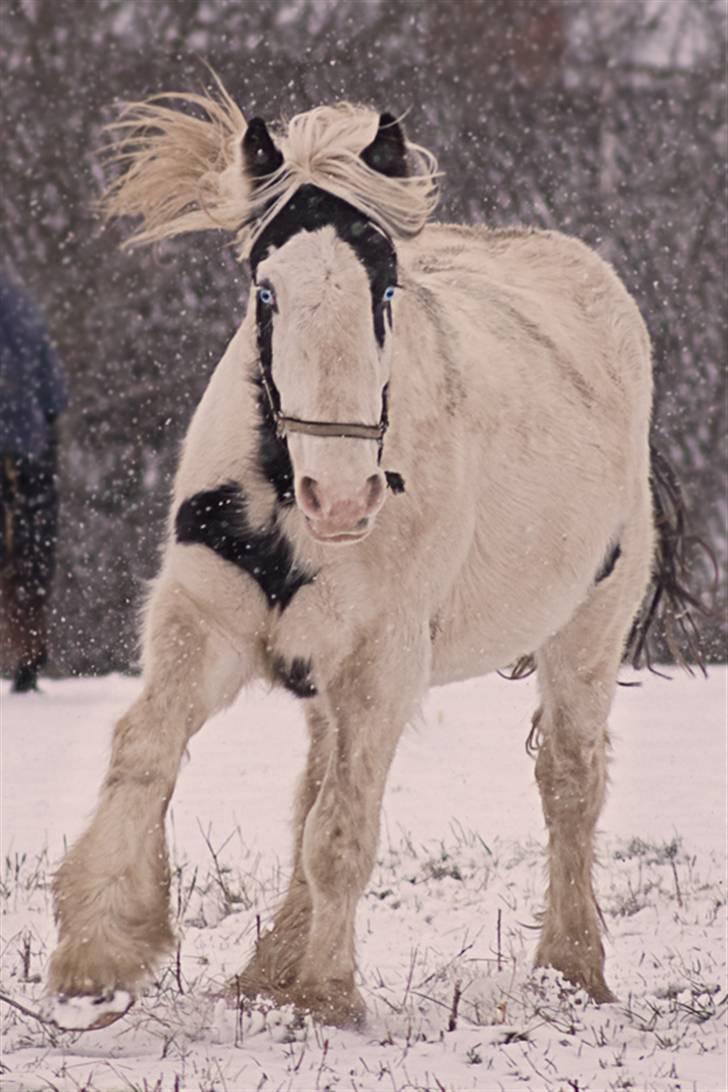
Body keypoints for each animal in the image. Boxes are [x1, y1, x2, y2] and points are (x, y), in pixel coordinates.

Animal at [48, 85, 685, 1030]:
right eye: (265, 292)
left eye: (385, 287)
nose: (343, 498)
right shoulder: (204, 619)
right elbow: (148, 750)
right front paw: (98, 953)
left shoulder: (385, 656)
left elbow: (343, 831)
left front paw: (327, 996)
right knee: (312, 785)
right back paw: (264, 969)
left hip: (584, 633)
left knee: (569, 783)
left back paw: (572, 969)